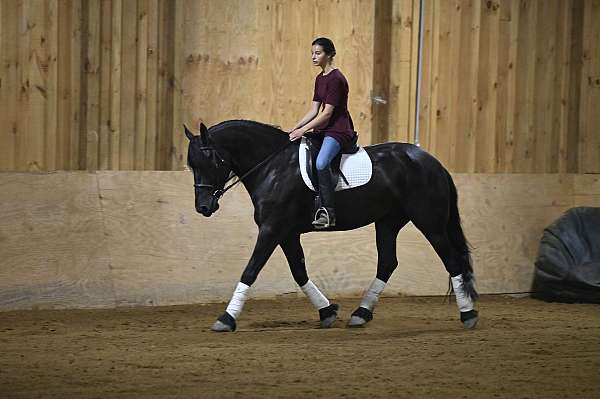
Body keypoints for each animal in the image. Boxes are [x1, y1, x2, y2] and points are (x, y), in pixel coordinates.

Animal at [184, 120, 478, 332]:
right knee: (387, 263)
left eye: (210, 160)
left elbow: (250, 271)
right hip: (388, 223)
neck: (273, 166)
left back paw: (468, 315)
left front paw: (226, 318)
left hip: (430, 222)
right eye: (191, 165)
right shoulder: (287, 234)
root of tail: (431, 161)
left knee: (451, 261)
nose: (204, 208)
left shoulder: (272, 229)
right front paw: (326, 312)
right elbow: (299, 271)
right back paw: (360, 314)